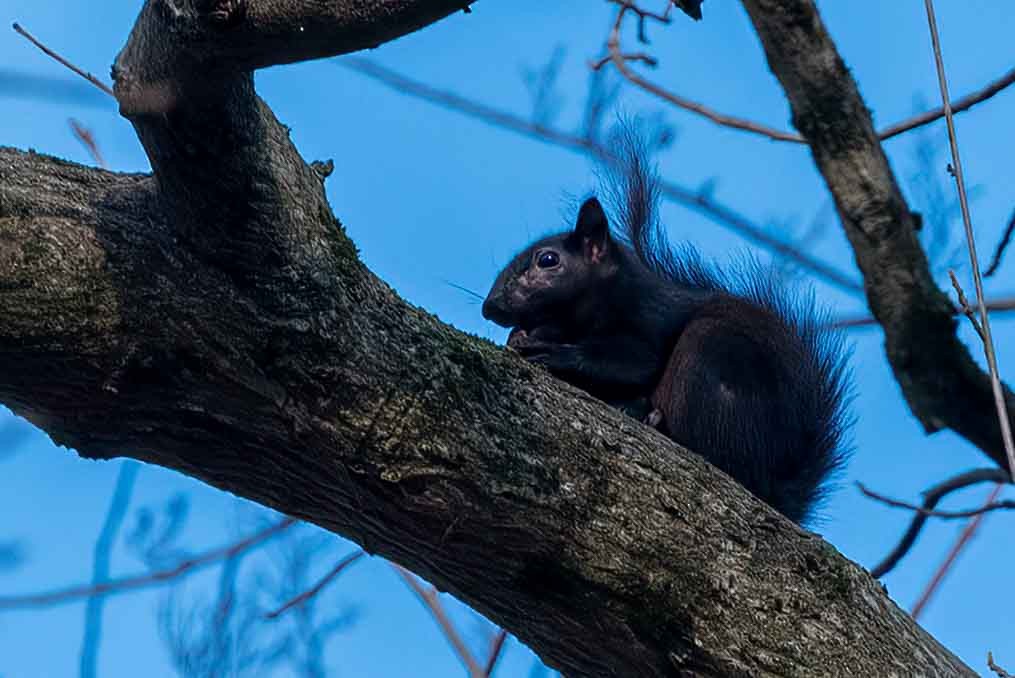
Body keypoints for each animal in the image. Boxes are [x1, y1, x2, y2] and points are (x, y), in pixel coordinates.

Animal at [481, 136, 851, 525]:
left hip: (709, 358)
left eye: (548, 260)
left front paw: (555, 353)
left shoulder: (650, 320)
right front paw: (522, 337)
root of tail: (773, 489)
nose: (490, 307)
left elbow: (633, 362)